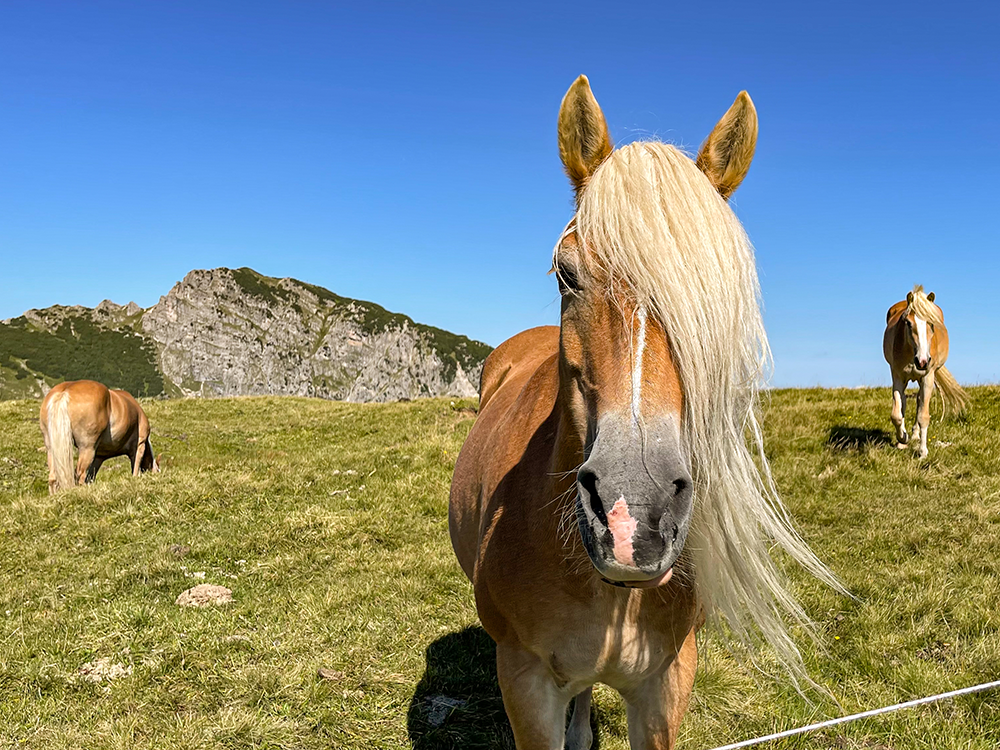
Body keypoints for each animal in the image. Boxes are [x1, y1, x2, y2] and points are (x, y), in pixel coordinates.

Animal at [888, 288, 964, 462]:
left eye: (931, 323)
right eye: (908, 323)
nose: (922, 361)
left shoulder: (927, 378)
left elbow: (923, 416)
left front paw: (922, 452)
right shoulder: (897, 377)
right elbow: (896, 414)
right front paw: (902, 437)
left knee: (919, 400)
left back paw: (915, 435)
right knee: (904, 401)